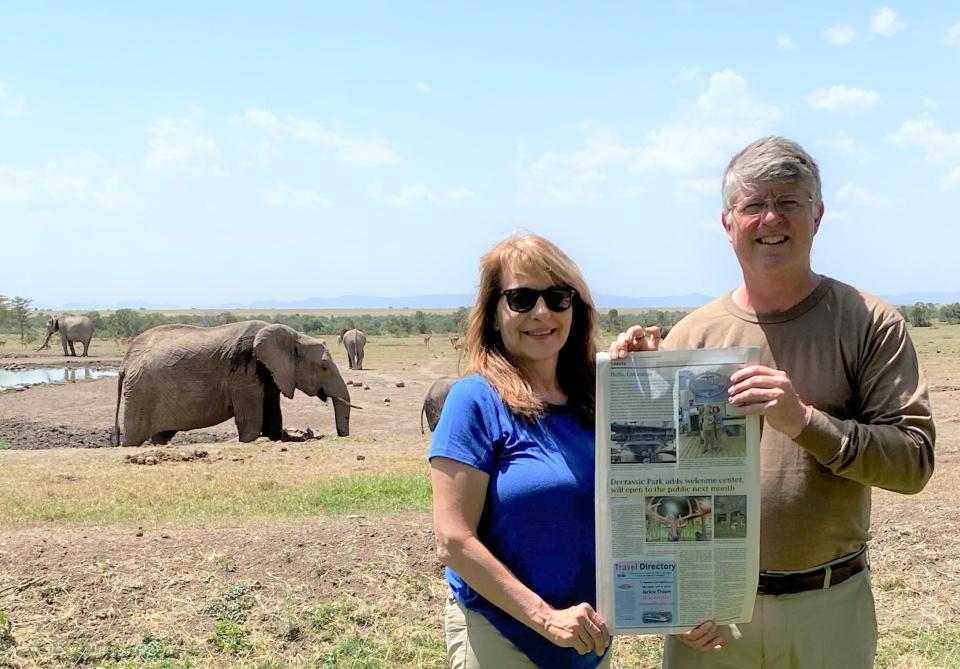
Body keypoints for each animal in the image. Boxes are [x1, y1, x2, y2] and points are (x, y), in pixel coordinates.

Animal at [112, 320, 352, 446]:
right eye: (323, 367)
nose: (342, 436)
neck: (292, 334)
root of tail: (126, 361)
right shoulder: (244, 373)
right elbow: (250, 424)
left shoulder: (269, 373)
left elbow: (272, 416)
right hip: (141, 394)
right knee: (133, 438)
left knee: (160, 436)